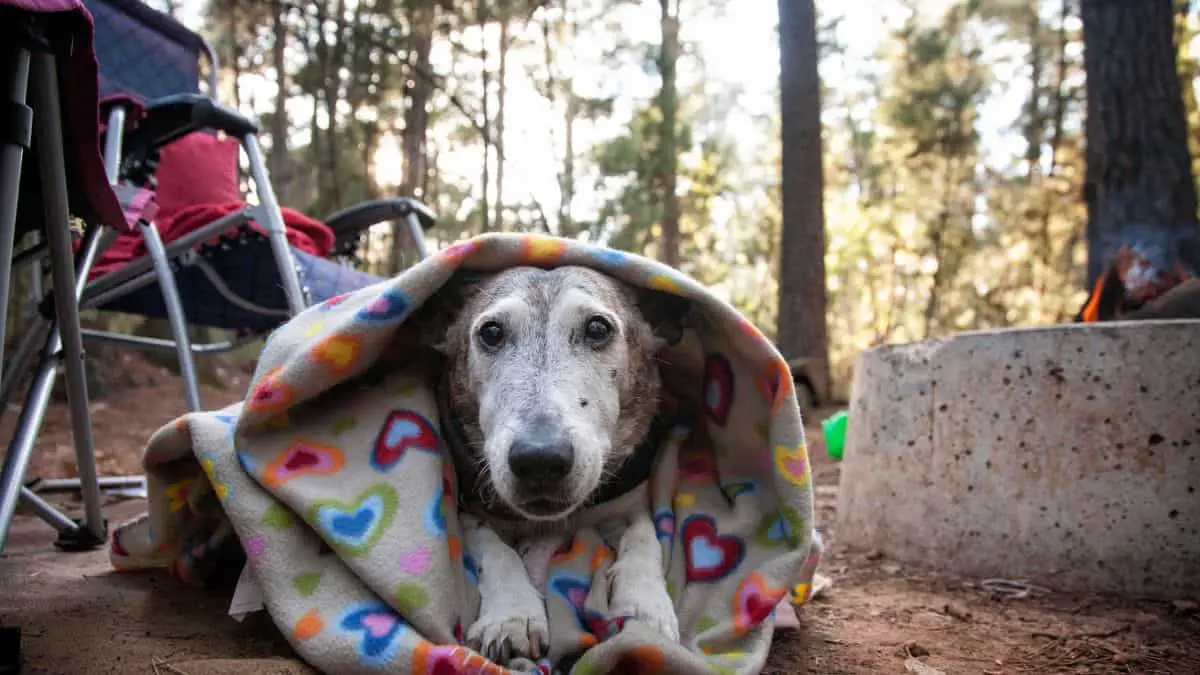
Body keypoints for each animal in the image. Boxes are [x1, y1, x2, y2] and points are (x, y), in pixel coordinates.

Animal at [420, 263, 686, 662]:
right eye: (491, 332)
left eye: (598, 328)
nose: (539, 459)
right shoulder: (466, 507)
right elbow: (493, 548)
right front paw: (512, 614)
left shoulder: (631, 501)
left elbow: (645, 537)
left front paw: (646, 607)